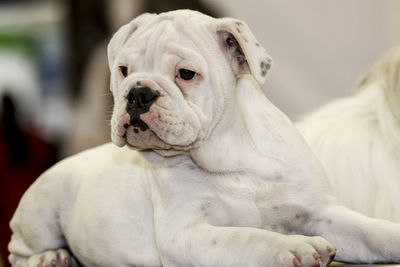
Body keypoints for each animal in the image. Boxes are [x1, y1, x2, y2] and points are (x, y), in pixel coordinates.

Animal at [8, 9, 400, 267]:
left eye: (186, 74)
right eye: (123, 70)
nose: (137, 93)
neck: (233, 156)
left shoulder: (322, 213)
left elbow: (371, 230)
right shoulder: (186, 234)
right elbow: (247, 236)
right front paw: (295, 247)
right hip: (41, 211)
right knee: (18, 250)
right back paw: (52, 257)